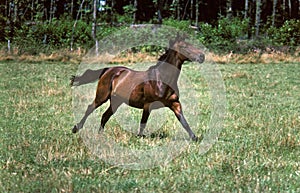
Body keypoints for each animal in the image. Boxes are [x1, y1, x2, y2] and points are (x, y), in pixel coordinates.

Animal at [71, 34, 205, 141]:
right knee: (90, 108)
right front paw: (139, 138)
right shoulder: (148, 105)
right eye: (184, 46)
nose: (202, 56)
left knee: (105, 116)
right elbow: (143, 123)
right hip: (102, 96)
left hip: (116, 101)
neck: (161, 80)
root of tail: (108, 70)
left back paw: (100, 135)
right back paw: (76, 128)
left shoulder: (175, 104)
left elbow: (184, 121)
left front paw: (194, 138)